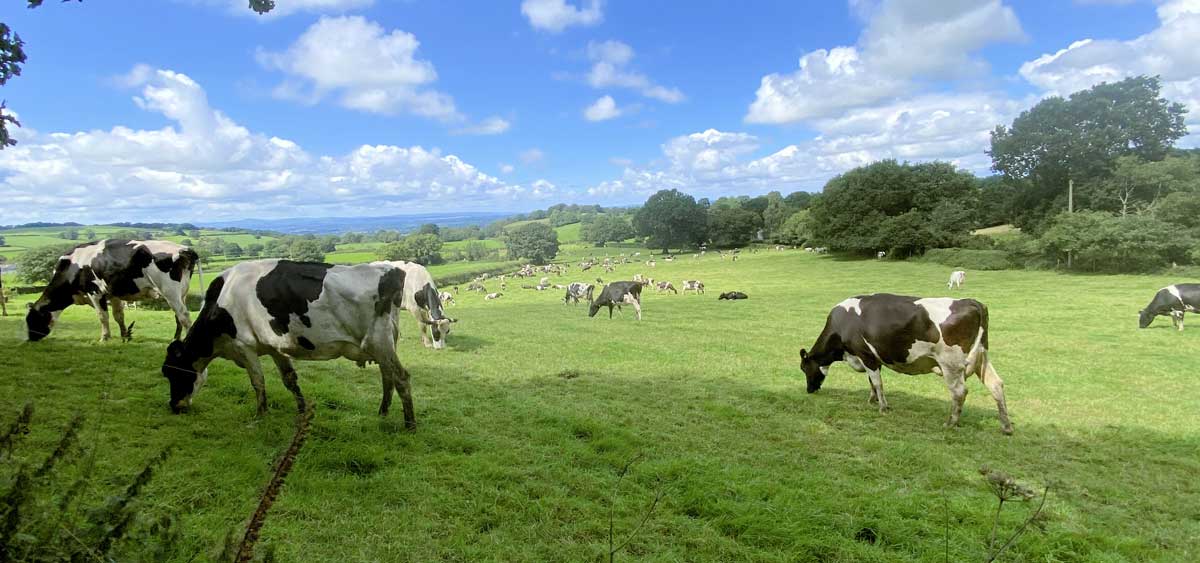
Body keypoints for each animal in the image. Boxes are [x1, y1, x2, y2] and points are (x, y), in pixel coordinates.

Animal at [26, 237, 199, 343]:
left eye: (31, 319)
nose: (29, 339)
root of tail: (184, 249)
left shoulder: (95, 292)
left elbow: (103, 316)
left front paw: (104, 337)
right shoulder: (113, 294)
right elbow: (118, 316)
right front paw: (125, 336)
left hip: (170, 292)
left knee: (184, 316)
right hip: (181, 294)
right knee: (178, 317)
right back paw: (176, 339)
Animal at [160, 259, 417, 424]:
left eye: (171, 372)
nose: (174, 405)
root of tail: (391, 271)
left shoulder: (244, 346)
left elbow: (258, 382)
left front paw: (260, 415)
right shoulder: (275, 346)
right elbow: (289, 379)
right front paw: (301, 410)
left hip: (378, 342)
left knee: (401, 377)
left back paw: (410, 424)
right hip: (383, 343)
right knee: (387, 377)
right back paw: (382, 413)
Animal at [796, 294, 1012, 434]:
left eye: (804, 368)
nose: (809, 390)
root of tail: (973, 302)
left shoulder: (865, 354)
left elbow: (877, 382)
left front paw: (883, 407)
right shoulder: (873, 357)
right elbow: (872, 382)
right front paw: (872, 400)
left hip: (950, 362)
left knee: (959, 392)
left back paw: (951, 423)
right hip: (982, 357)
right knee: (996, 384)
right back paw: (1006, 426)